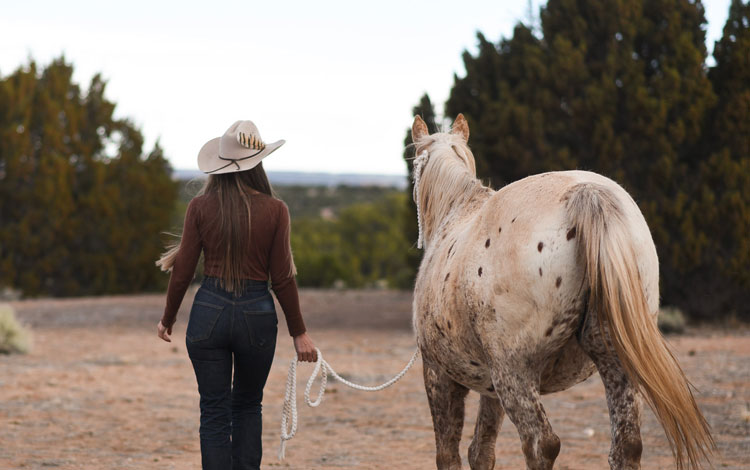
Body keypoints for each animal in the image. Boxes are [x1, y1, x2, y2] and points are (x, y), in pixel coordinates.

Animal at [408, 114, 712, 470]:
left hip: (516, 372)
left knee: (542, 444)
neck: (456, 212)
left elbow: (449, 453)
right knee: (627, 445)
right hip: (613, 360)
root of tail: (586, 193)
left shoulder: (439, 376)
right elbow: (481, 452)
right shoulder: (489, 387)